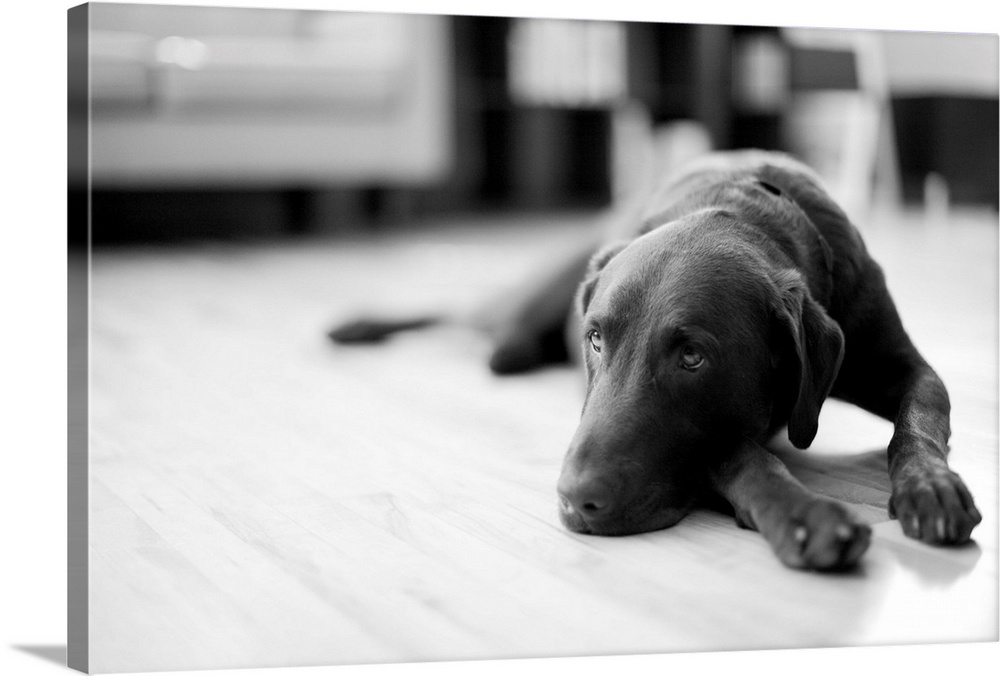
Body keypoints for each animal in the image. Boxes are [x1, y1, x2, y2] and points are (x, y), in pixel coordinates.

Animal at [326, 149, 976, 572]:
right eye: (595, 339)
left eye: (692, 357)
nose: (574, 500)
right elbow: (745, 457)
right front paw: (805, 514)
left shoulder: (901, 364)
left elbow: (921, 420)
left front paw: (931, 487)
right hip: (528, 297)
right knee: (462, 311)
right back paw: (357, 324)